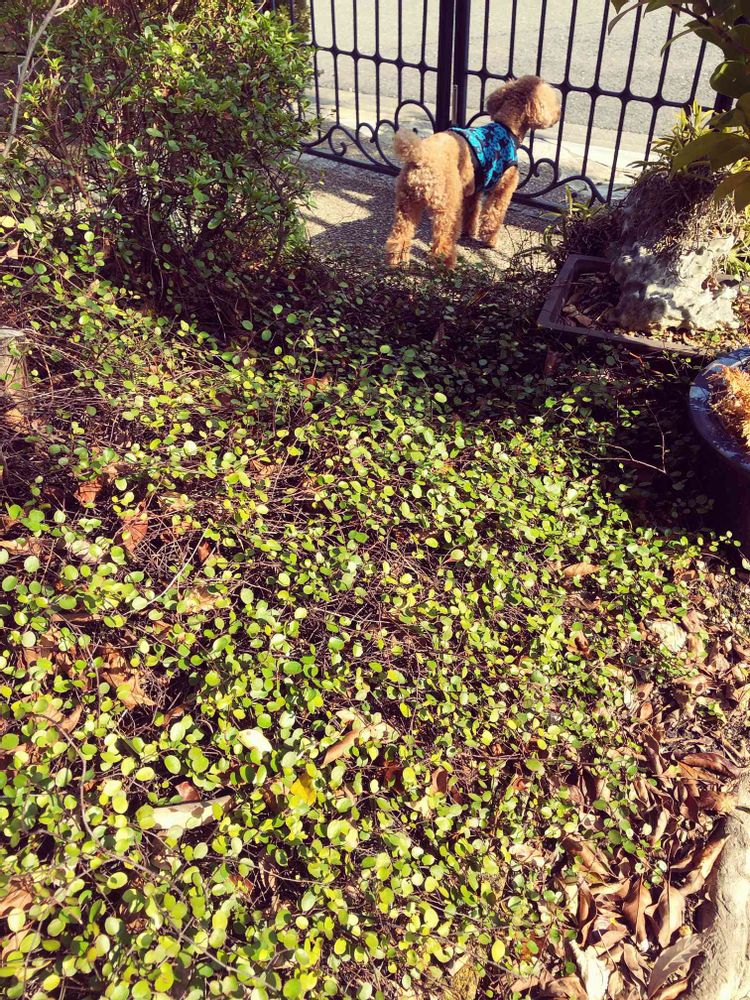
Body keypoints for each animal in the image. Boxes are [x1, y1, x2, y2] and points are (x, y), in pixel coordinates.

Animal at [385, 76, 561, 268]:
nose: (559, 113)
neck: (506, 128)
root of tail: (420, 155)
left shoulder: (473, 189)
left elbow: (472, 211)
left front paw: (469, 231)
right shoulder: (502, 188)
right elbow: (493, 215)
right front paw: (490, 241)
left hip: (407, 202)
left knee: (400, 234)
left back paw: (398, 260)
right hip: (447, 205)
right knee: (443, 239)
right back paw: (447, 264)